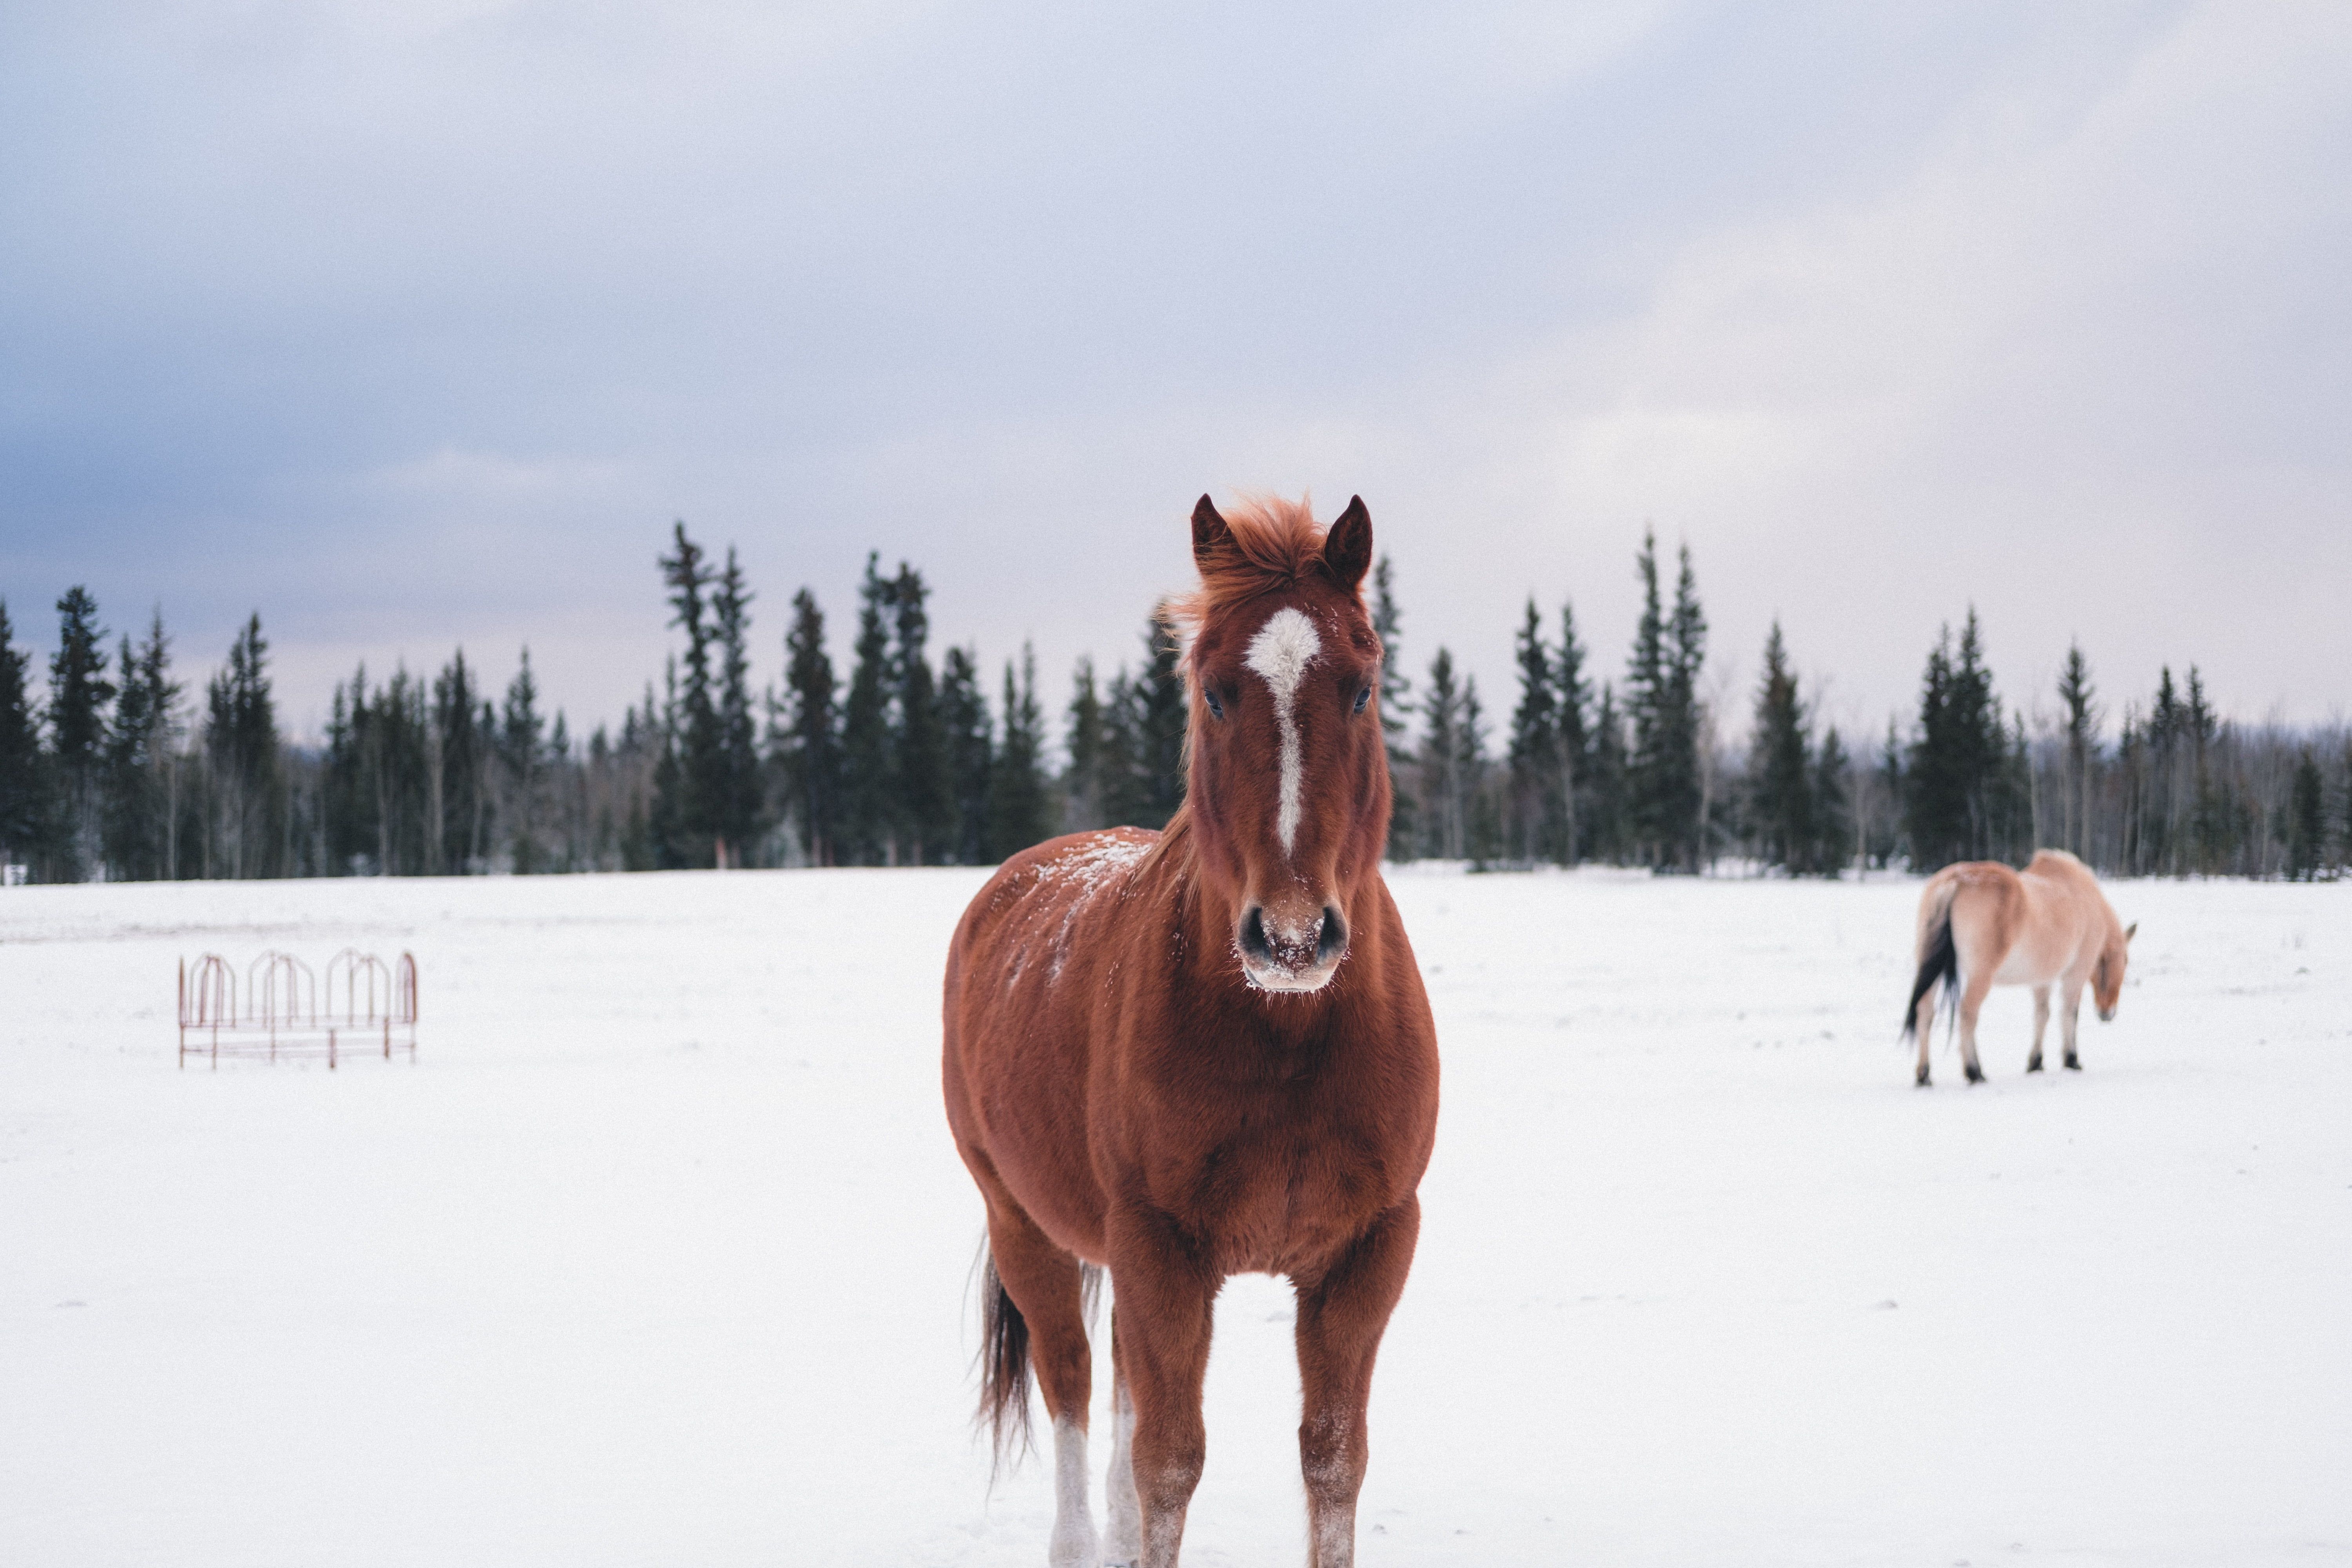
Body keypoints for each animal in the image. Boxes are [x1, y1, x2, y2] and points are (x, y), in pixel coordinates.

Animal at [941, 494, 1440, 1568]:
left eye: (1363, 688)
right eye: (1213, 692)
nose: (1291, 934)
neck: (1286, 1035)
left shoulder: (1368, 1250)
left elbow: (1332, 1461)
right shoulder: (1160, 1248)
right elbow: (1169, 1464)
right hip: (1026, 1227)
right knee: (1077, 1389)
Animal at [1901, 849, 2135, 1086]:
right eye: (2125, 960)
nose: (2107, 1014)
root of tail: (1956, 881)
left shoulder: (2042, 980)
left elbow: (2042, 1015)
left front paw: (2036, 1062)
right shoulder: (2076, 974)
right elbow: (2069, 1014)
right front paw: (2072, 1060)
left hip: (1932, 971)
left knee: (1925, 1012)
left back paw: (1924, 1075)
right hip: (1981, 976)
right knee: (1968, 1013)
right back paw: (1974, 1071)